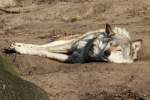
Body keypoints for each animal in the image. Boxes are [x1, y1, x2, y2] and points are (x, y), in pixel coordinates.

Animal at [7, 23, 142, 63]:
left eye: (119, 50)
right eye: (110, 44)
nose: (107, 52)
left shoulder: (72, 59)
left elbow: (45, 52)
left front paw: (20, 49)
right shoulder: (70, 47)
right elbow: (42, 49)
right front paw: (20, 48)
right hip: (66, 42)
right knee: (44, 45)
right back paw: (16, 45)